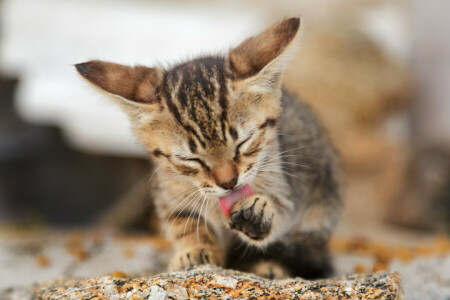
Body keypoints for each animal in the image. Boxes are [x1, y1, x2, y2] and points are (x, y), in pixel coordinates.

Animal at [75, 17, 342, 278]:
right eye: (190, 159)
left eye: (243, 142)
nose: (228, 183)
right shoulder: (167, 189)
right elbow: (183, 220)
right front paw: (195, 249)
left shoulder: (286, 182)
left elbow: (281, 210)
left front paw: (258, 215)